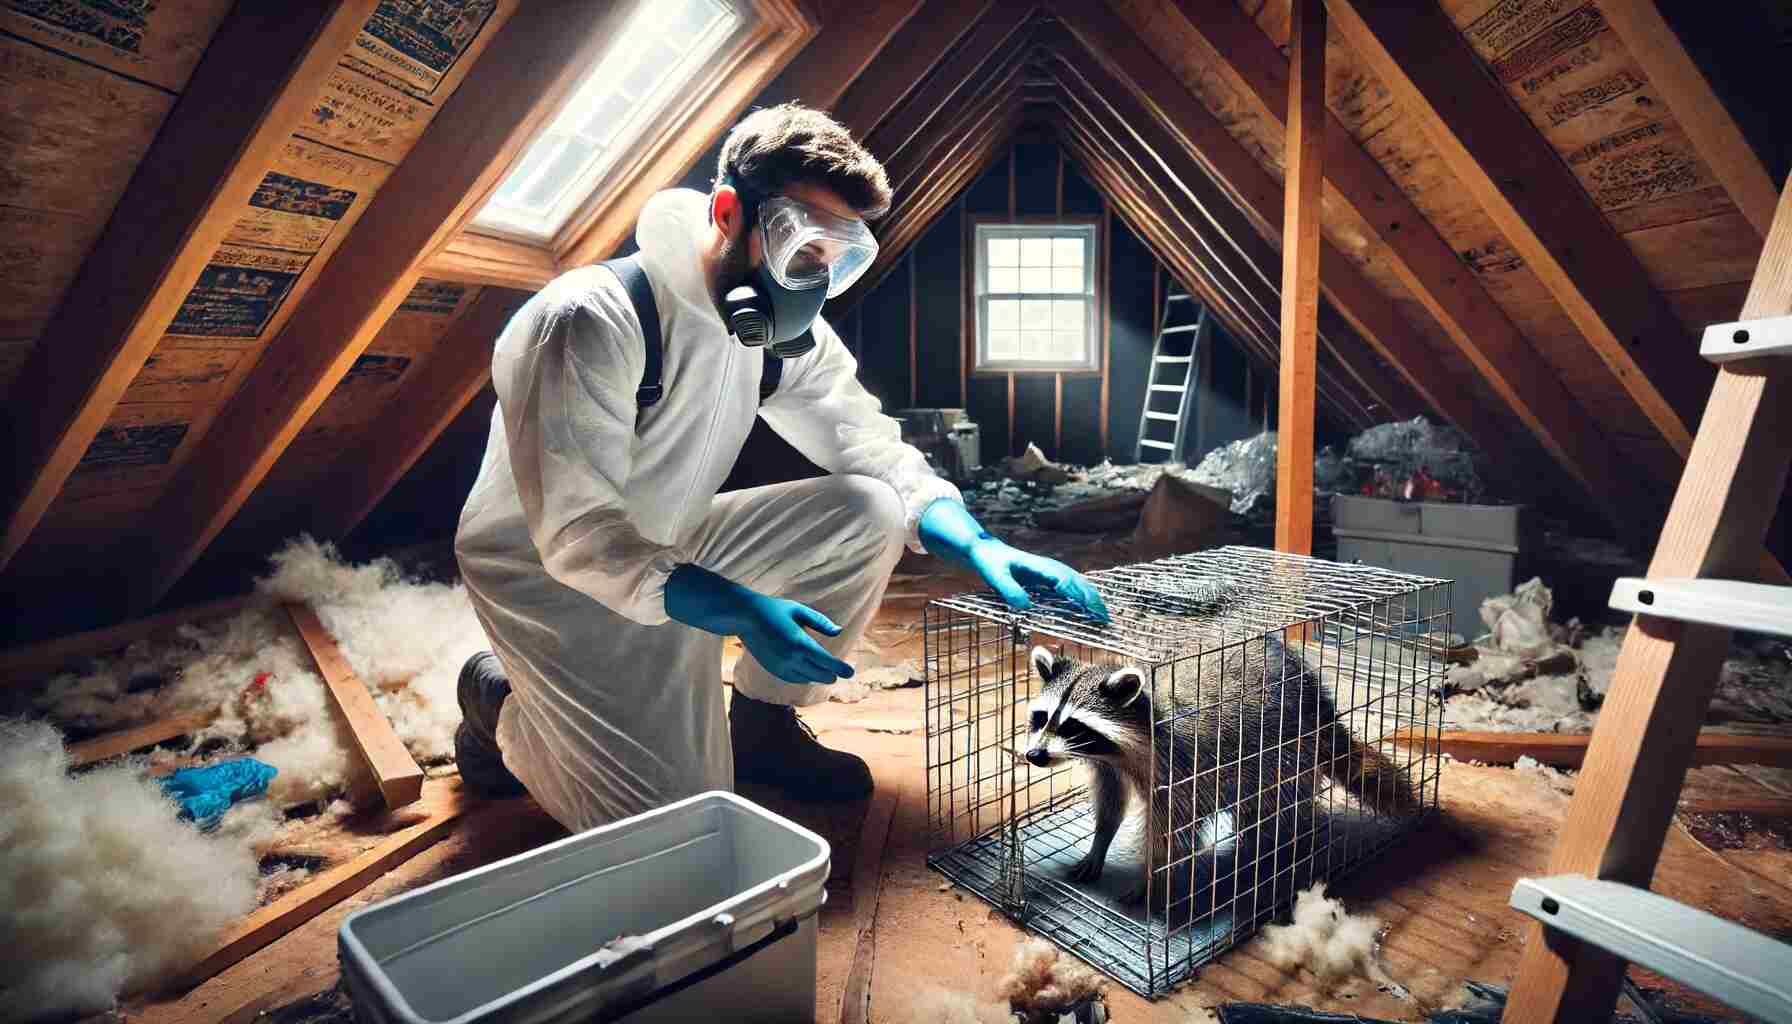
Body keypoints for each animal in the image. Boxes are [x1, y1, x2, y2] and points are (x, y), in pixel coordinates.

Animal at [1025, 638, 1412, 911]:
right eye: (1042, 718)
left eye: (1072, 726)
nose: (1034, 756)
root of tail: (1321, 704)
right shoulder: (1108, 766)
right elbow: (1110, 803)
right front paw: (1100, 842)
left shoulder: (1178, 767)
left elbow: (1170, 835)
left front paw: (1152, 878)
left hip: (1286, 750)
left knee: (1276, 806)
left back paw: (1274, 850)